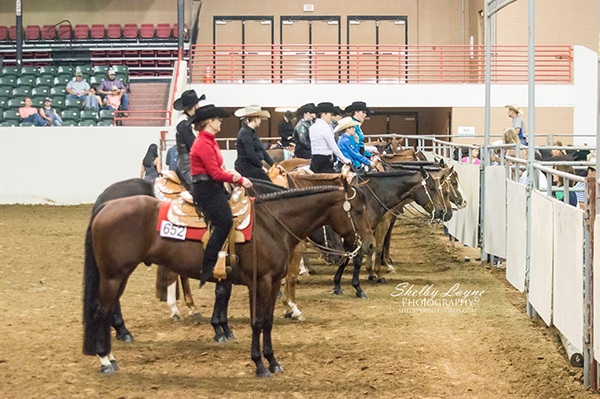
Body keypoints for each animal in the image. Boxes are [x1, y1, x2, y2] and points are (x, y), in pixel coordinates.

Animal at [82, 183, 376, 376]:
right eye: (357, 211)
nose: (370, 244)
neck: (272, 225)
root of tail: (107, 205)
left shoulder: (271, 283)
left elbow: (267, 322)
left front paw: (273, 361)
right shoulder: (261, 282)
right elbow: (257, 322)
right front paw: (259, 364)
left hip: (119, 275)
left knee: (108, 309)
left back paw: (112, 353)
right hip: (113, 275)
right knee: (102, 310)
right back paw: (106, 360)